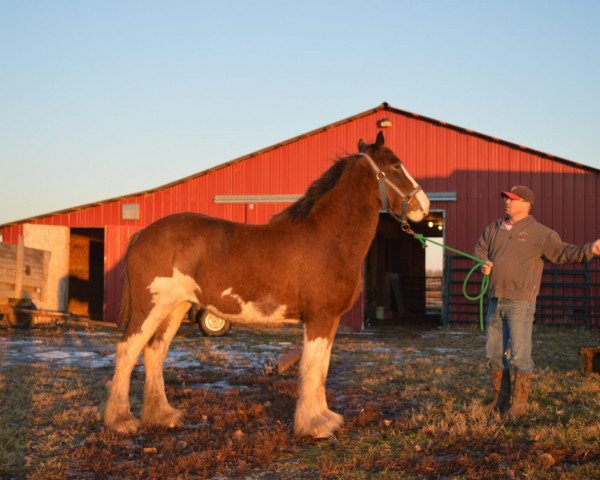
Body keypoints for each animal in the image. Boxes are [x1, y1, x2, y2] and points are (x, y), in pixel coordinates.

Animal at [104, 131, 432, 438]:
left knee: (154, 351)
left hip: (175, 307)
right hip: (151, 307)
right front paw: (313, 425)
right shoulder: (319, 318)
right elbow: (312, 368)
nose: (425, 206)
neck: (329, 238)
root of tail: (142, 234)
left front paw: (325, 418)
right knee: (127, 350)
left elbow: (322, 368)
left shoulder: (330, 320)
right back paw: (120, 420)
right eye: (396, 165)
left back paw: (162, 415)